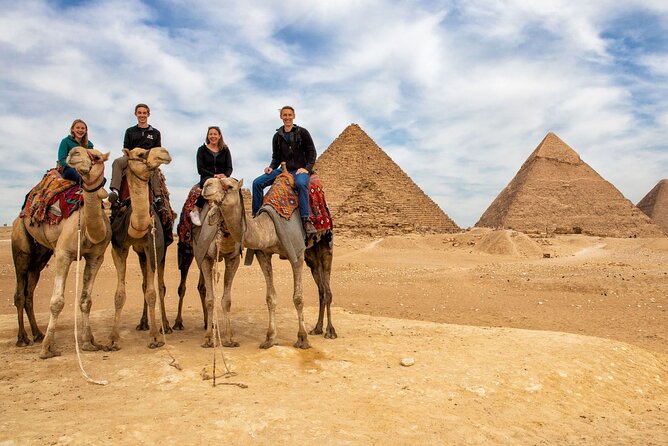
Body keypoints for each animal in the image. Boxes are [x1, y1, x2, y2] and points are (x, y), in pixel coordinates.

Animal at [11, 146, 111, 359]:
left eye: (97, 156)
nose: (74, 152)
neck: (90, 229)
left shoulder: (96, 257)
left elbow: (86, 300)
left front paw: (88, 343)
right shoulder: (63, 253)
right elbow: (57, 302)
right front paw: (47, 349)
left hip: (40, 256)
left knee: (29, 294)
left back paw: (37, 334)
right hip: (21, 245)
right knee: (19, 294)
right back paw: (23, 339)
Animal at [107, 147, 172, 351]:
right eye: (140, 154)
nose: (164, 152)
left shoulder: (153, 247)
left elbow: (152, 293)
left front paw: (156, 337)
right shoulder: (118, 247)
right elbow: (119, 294)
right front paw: (113, 339)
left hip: (160, 251)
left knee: (160, 286)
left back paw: (166, 326)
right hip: (140, 252)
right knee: (144, 284)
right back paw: (143, 323)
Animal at [173, 203, 241, 347]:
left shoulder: (233, 259)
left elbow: (227, 300)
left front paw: (229, 339)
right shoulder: (205, 257)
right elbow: (210, 299)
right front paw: (209, 339)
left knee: (201, 287)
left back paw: (208, 323)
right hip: (187, 251)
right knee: (182, 287)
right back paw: (178, 323)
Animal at [202, 176, 337, 349]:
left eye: (229, 185)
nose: (206, 185)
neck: (270, 228)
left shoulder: (297, 255)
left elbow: (298, 298)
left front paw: (302, 339)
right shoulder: (263, 254)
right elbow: (270, 297)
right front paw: (270, 338)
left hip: (326, 244)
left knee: (327, 290)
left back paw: (330, 331)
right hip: (311, 255)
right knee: (320, 289)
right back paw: (317, 328)